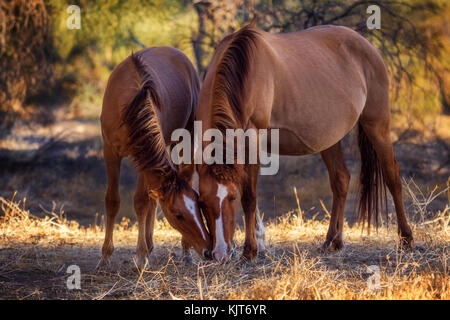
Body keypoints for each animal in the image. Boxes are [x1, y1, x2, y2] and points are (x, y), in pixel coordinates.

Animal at [98, 46, 211, 268]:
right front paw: (105, 256)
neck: (129, 106)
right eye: (178, 215)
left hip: (185, 136)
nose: (207, 250)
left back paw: (183, 250)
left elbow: (142, 201)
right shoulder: (110, 152)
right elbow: (112, 200)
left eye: (199, 207)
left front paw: (141, 255)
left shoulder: (145, 158)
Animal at [193, 23, 414, 262]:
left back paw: (406, 239)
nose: (219, 253)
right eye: (202, 202)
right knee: (341, 180)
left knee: (392, 175)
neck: (244, 70)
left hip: (377, 124)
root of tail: (368, 46)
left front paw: (250, 250)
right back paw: (333, 242)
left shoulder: (253, 138)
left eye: (232, 198)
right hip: (329, 138)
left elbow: (250, 197)